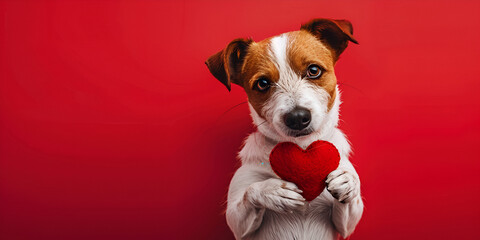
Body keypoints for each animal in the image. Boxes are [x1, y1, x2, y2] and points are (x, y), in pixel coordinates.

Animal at [205, 17, 364, 239]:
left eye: (314, 70)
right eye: (262, 83)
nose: (297, 118)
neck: (302, 147)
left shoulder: (345, 226)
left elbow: (350, 205)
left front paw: (348, 181)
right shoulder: (237, 223)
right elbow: (249, 193)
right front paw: (272, 191)